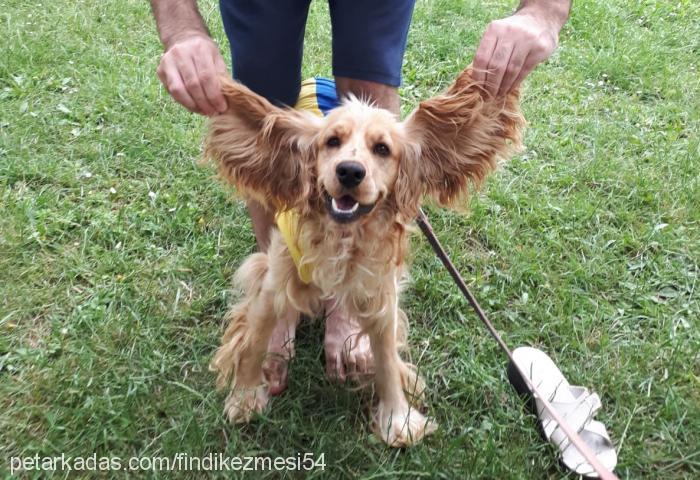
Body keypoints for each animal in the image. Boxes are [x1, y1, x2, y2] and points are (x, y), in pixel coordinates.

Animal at [205, 67, 524, 446]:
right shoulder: (273, 285)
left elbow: (386, 359)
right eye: (332, 141)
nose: (350, 171)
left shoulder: (381, 294)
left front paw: (397, 419)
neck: (342, 237)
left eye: (382, 149)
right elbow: (255, 342)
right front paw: (245, 396)